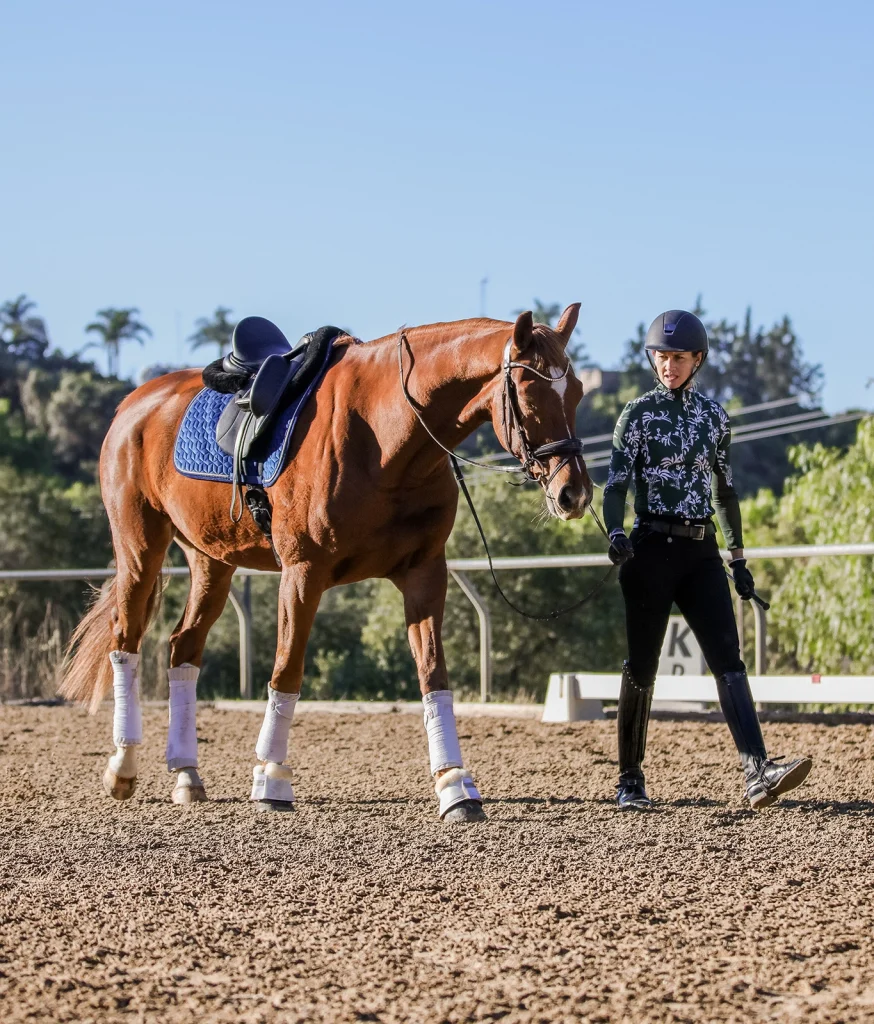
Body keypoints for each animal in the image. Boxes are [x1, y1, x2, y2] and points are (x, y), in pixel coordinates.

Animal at [60, 305, 593, 823]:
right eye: (529, 391)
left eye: (578, 392)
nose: (574, 493)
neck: (386, 435)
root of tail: (135, 403)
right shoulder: (303, 571)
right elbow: (287, 669)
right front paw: (272, 778)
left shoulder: (424, 572)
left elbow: (433, 674)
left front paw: (454, 784)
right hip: (140, 548)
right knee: (125, 641)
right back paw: (123, 765)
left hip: (211, 561)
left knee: (183, 647)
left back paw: (187, 773)